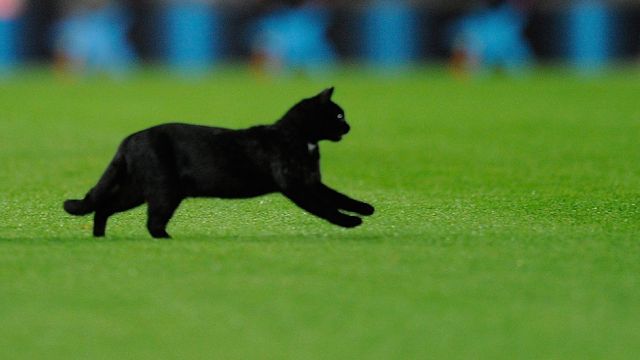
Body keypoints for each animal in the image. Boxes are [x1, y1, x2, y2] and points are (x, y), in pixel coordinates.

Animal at [62, 88, 372, 239]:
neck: (303, 138)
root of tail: (129, 139)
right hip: (163, 191)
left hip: (136, 190)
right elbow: (325, 207)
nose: (349, 127)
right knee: (152, 222)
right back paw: (171, 241)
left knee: (104, 207)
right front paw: (350, 221)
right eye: (339, 116)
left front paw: (365, 209)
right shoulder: (296, 185)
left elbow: (339, 196)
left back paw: (100, 238)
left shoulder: (311, 181)